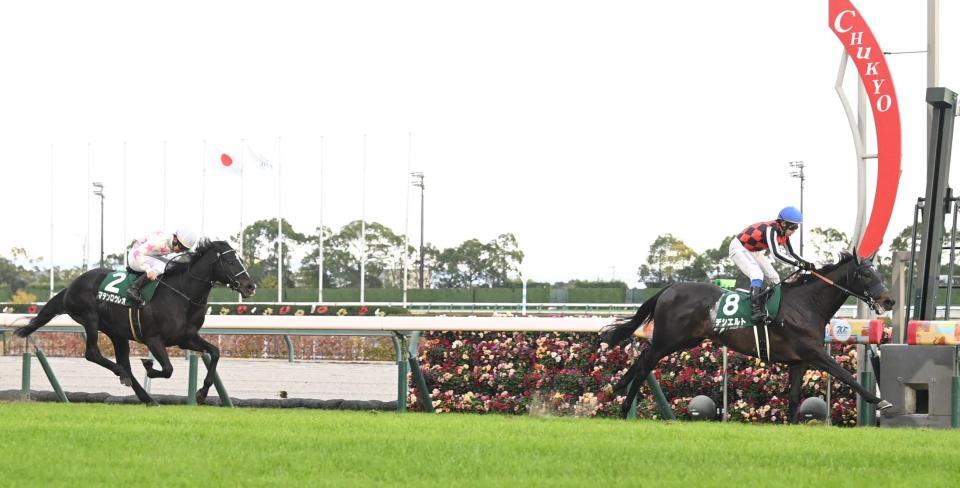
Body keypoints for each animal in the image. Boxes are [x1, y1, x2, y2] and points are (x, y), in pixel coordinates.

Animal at [15, 239, 255, 404]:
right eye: (230, 261)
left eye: (241, 260)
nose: (250, 286)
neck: (182, 295)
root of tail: (70, 287)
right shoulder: (153, 339)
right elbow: (167, 369)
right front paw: (149, 366)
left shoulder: (186, 338)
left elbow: (215, 352)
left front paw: (202, 393)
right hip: (90, 318)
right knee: (93, 353)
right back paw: (126, 378)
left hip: (117, 333)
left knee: (124, 362)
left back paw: (147, 397)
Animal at [604, 252, 896, 424]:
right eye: (866, 273)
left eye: (877, 271)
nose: (889, 300)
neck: (807, 304)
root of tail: (669, 288)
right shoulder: (815, 353)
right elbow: (846, 376)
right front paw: (881, 400)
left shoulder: (799, 361)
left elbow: (794, 397)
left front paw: (793, 426)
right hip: (669, 339)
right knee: (645, 363)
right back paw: (623, 407)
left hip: (685, 340)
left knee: (643, 358)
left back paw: (618, 387)